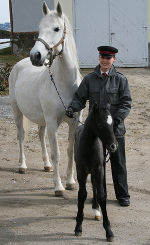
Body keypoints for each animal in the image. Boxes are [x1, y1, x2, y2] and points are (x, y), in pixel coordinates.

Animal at [8, 1, 81, 196]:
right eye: (39, 29)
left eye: (57, 28)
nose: (36, 56)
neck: (63, 84)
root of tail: (19, 64)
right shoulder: (53, 122)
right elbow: (57, 154)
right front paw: (58, 187)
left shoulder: (73, 121)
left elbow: (70, 151)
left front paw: (71, 182)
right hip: (18, 112)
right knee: (21, 135)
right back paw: (23, 166)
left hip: (42, 120)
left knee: (40, 135)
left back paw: (46, 165)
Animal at [74, 103, 118, 241]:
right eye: (99, 124)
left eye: (112, 123)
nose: (113, 146)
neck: (89, 148)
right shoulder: (80, 171)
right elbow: (82, 195)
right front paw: (78, 226)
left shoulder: (99, 170)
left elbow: (102, 196)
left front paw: (109, 231)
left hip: (94, 172)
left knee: (94, 186)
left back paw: (96, 209)